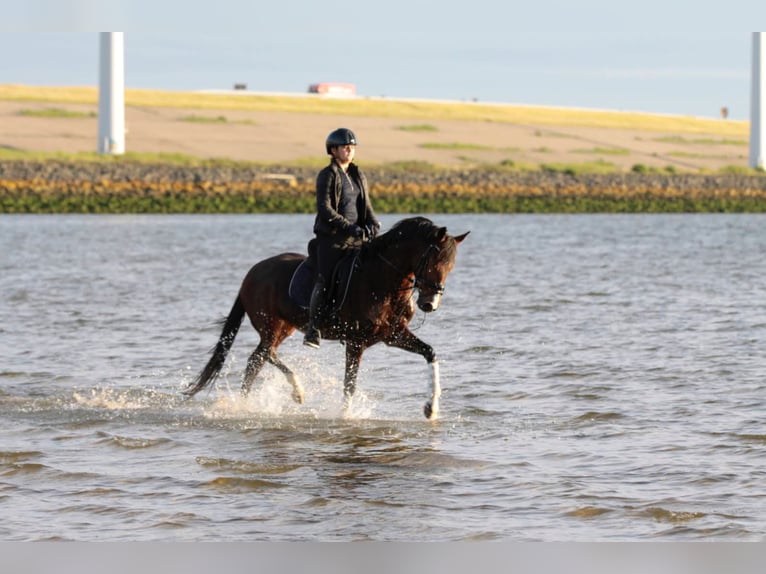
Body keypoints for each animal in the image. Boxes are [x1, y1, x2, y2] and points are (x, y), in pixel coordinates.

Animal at [185, 218, 472, 420]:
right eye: (433, 262)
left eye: (450, 267)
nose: (429, 304)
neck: (383, 281)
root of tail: (252, 272)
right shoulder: (356, 342)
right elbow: (349, 385)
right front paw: (345, 418)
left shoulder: (393, 336)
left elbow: (430, 353)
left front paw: (431, 409)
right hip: (271, 326)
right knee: (258, 358)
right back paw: (253, 403)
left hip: (284, 327)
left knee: (262, 356)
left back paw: (293, 393)